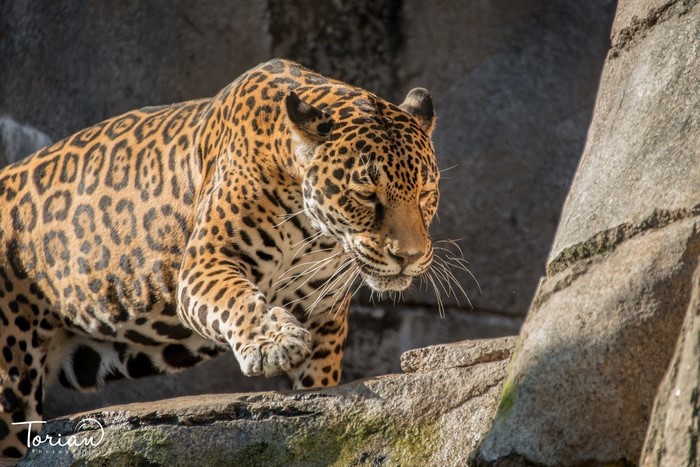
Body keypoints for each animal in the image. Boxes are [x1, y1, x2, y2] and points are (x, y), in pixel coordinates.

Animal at [0, 58, 439, 457]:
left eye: (425, 193)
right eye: (366, 195)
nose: (409, 257)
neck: (316, 234)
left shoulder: (324, 312)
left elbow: (320, 387)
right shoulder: (205, 263)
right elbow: (236, 298)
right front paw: (273, 342)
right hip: (11, 378)